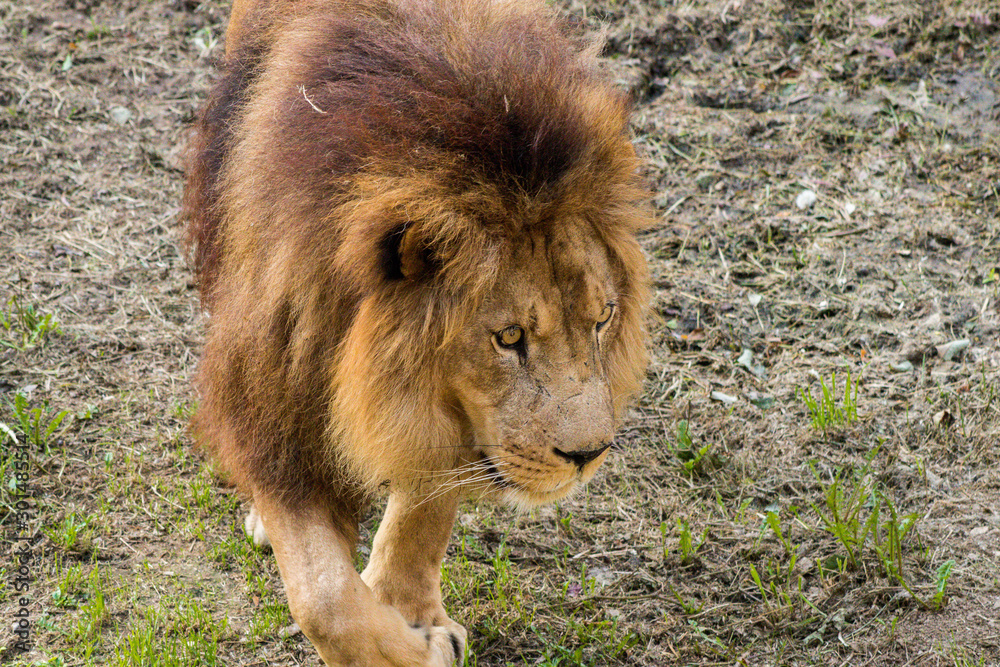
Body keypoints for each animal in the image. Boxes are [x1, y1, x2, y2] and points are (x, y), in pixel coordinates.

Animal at [182, 0, 651, 664]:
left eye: (603, 318)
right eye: (509, 338)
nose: (586, 457)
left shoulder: (454, 410)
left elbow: (424, 507)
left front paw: (409, 612)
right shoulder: (274, 387)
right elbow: (325, 596)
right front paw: (415, 647)